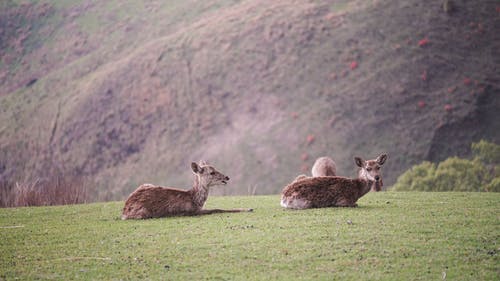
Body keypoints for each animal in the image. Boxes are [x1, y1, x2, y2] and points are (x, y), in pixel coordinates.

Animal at [121, 160, 254, 219]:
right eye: (212, 172)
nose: (227, 177)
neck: (195, 200)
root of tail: (124, 210)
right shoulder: (192, 211)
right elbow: (217, 209)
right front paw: (248, 208)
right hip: (143, 213)